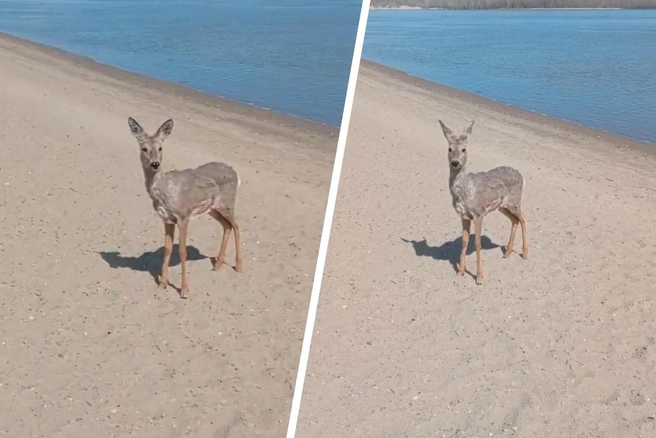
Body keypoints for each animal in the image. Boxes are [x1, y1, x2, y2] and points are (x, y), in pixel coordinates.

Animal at [127, 118, 242, 300]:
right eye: (144, 148)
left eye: (160, 148)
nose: (155, 163)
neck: (165, 191)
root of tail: (236, 174)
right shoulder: (167, 219)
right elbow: (167, 249)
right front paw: (162, 284)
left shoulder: (184, 215)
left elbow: (182, 251)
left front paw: (184, 290)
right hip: (213, 209)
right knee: (227, 226)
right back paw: (217, 264)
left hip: (227, 203)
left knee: (237, 226)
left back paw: (238, 266)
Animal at [440, 118, 528, 286]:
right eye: (449, 149)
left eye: (464, 149)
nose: (455, 162)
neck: (464, 191)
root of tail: (521, 175)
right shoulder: (464, 216)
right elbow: (464, 241)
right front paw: (460, 272)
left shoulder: (479, 213)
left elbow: (477, 243)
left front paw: (479, 277)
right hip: (502, 206)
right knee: (515, 220)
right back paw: (507, 252)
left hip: (515, 200)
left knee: (524, 218)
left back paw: (525, 253)